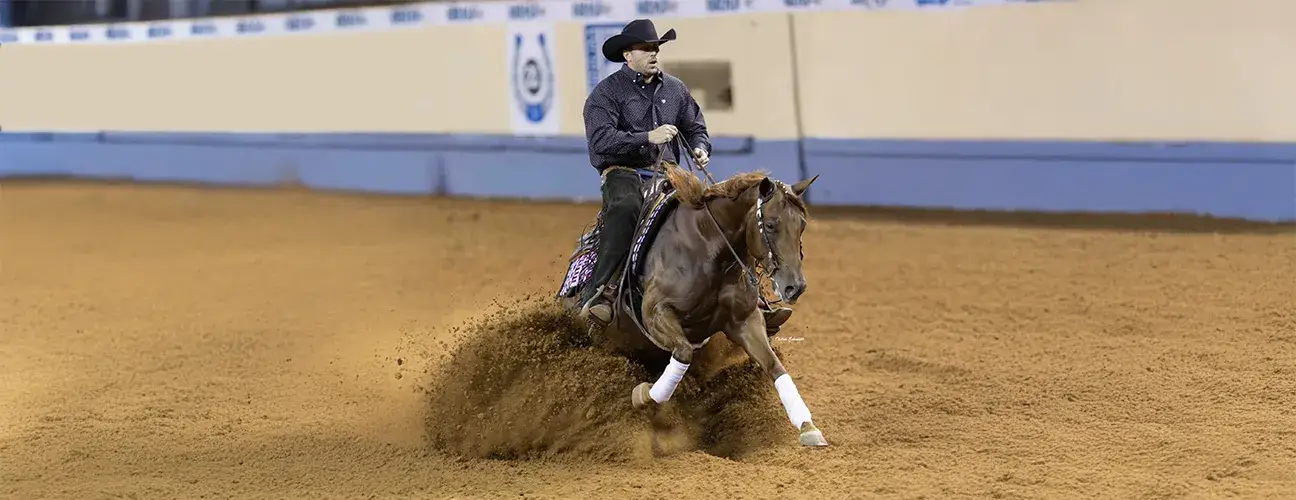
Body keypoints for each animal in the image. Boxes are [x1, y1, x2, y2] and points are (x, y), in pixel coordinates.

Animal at [557, 162, 828, 447]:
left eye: (802, 225)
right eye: (772, 224)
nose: (795, 286)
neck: (709, 249)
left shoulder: (744, 320)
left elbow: (774, 365)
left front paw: (808, 427)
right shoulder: (656, 313)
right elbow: (683, 353)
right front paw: (644, 395)